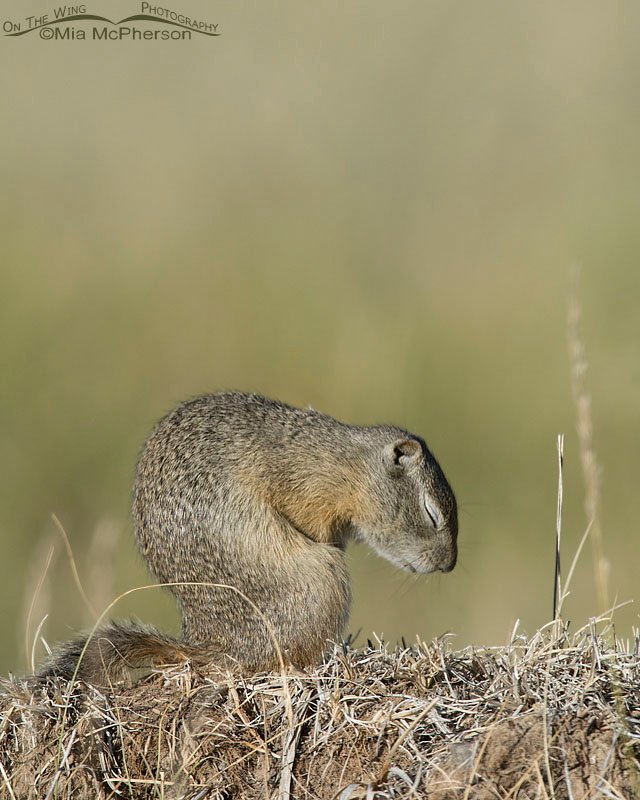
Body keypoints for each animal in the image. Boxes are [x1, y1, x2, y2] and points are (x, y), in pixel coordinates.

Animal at [41, 392, 457, 684]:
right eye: (431, 513)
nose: (449, 564)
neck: (347, 463)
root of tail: (209, 645)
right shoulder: (308, 490)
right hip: (322, 580)